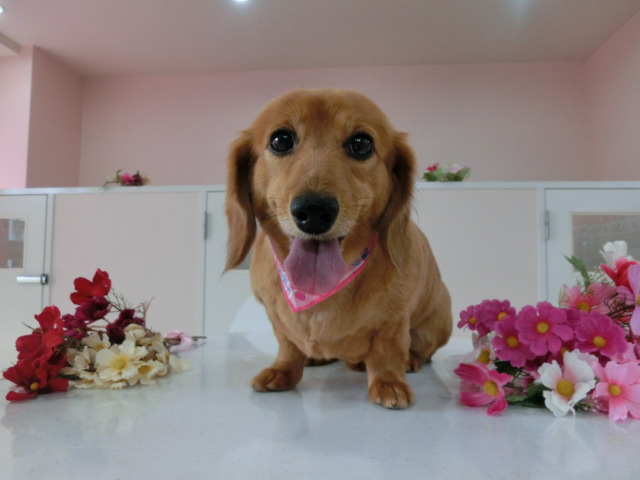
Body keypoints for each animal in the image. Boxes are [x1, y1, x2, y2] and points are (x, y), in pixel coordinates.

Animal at [225, 88, 452, 408]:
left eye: (361, 143)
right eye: (280, 140)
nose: (314, 211)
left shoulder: (394, 320)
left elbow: (387, 350)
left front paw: (389, 383)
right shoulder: (275, 316)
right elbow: (287, 344)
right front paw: (283, 370)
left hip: (440, 317)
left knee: (420, 348)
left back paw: (409, 359)